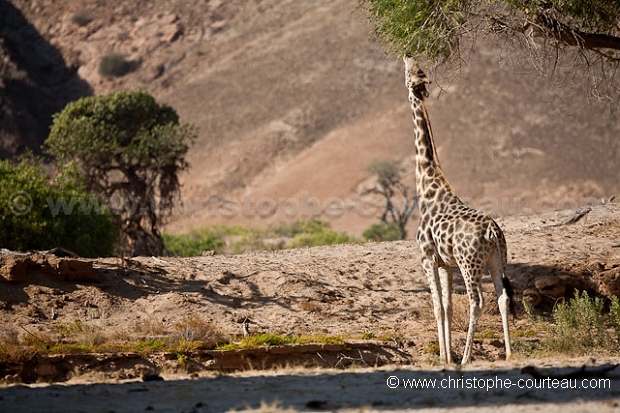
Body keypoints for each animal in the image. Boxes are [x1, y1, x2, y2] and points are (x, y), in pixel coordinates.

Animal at [402, 55, 512, 364]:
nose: (405, 55)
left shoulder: (427, 258)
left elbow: (438, 307)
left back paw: (466, 358)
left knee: (477, 301)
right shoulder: (446, 264)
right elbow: (449, 308)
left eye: (413, 70)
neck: (427, 187)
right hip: (496, 260)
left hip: (469, 263)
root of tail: (492, 231)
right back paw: (509, 354)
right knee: (503, 297)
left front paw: (445, 357)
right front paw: (445, 355)